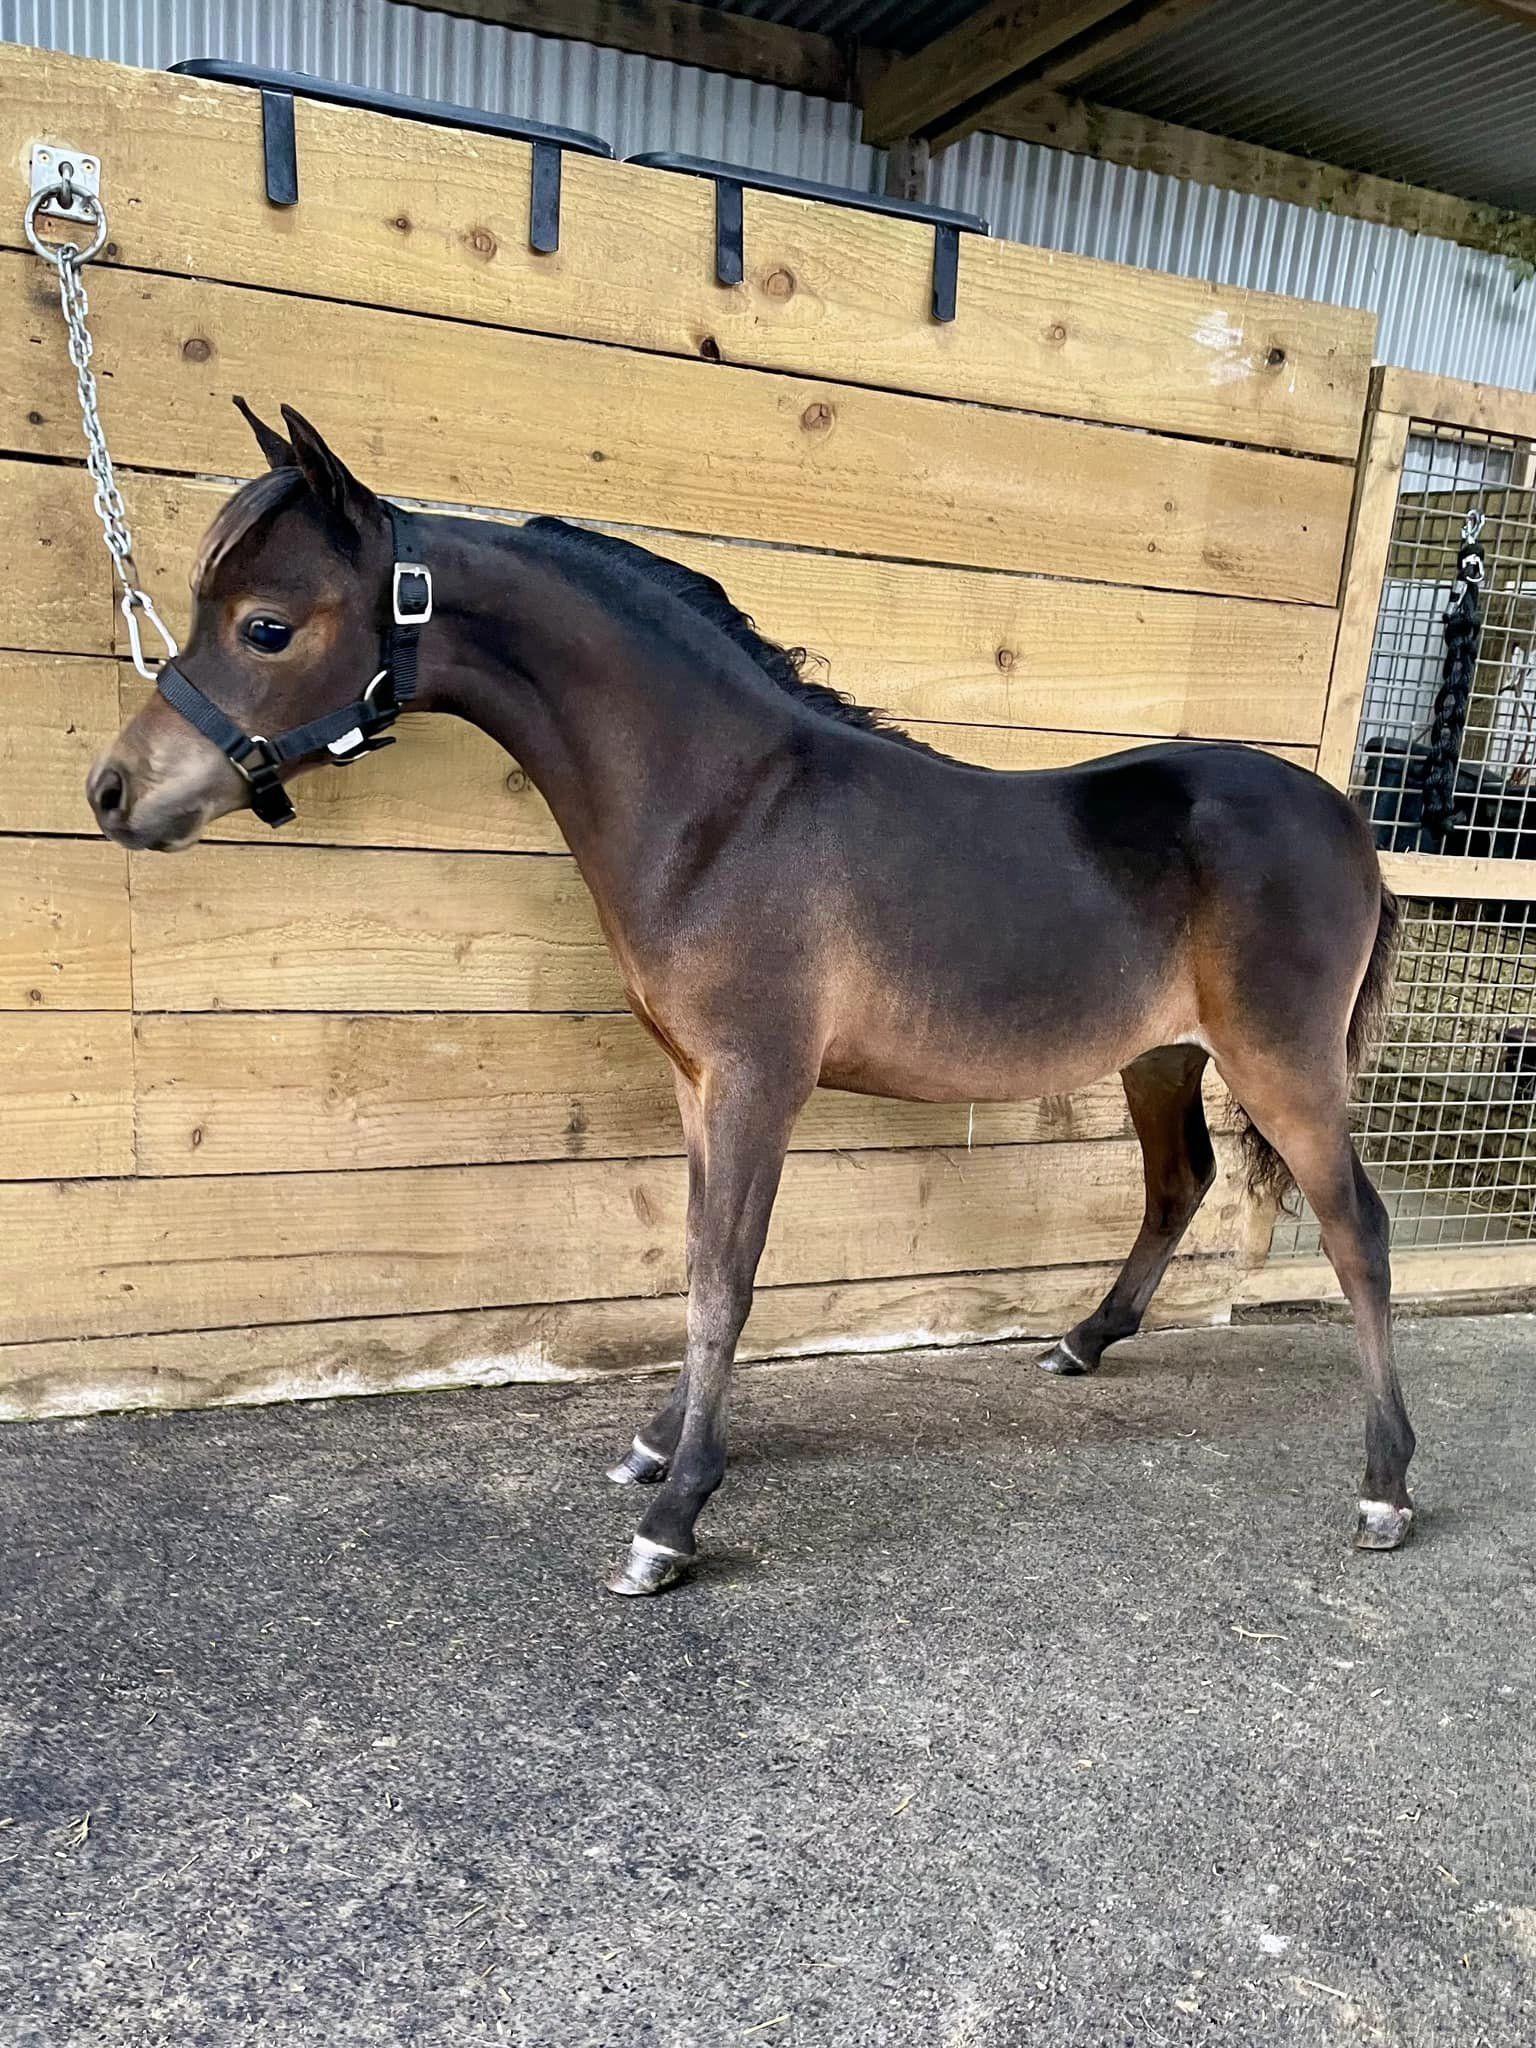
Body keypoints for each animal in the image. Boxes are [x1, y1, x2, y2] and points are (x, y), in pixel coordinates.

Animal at [87, 402, 1412, 1596]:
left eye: (266, 625)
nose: (114, 790)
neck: (726, 808)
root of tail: (1348, 826)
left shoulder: (757, 1081)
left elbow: (727, 1274)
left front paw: (673, 1520)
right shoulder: (697, 1083)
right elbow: (694, 1260)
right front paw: (660, 1444)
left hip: (1282, 1063)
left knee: (1357, 1225)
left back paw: (1386, 1485)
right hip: (1162, 1054)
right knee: (1180, 1180)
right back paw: (1080, 1343)